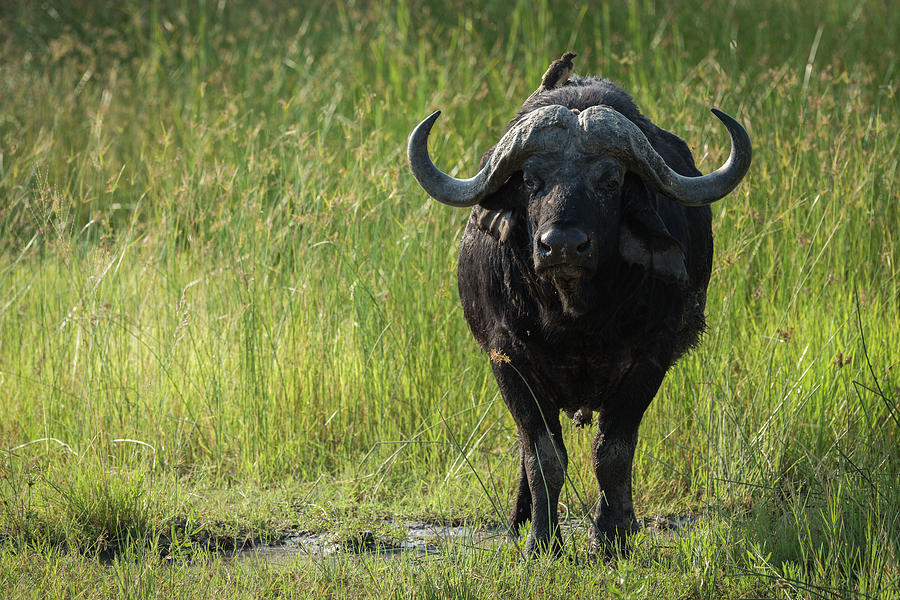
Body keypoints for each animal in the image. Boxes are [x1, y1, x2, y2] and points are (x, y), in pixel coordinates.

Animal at [408, 58, 752, 556]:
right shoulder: (508, 360)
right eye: (531, 180)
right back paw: (519, 520)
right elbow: (542, 455)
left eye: (610, 181)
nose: (563, 246)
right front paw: (540, 541)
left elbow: (612, 452)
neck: (573, 318)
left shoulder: (649, 358)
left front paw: (611, 536)